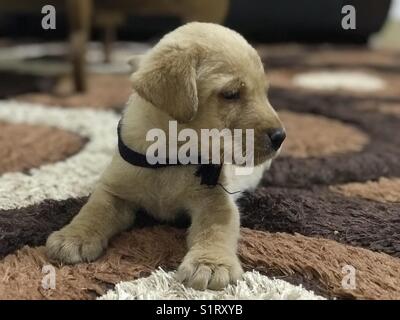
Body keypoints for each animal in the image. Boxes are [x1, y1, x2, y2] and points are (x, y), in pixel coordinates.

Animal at [47, 23, 284, 290]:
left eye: (265, 92)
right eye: (231, 94)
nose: (280, 136)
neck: (171, 156)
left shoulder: (216, 202)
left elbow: (215, 230)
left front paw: (211, 264)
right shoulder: (114, 191)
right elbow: (94, 209)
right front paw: (73, 236)